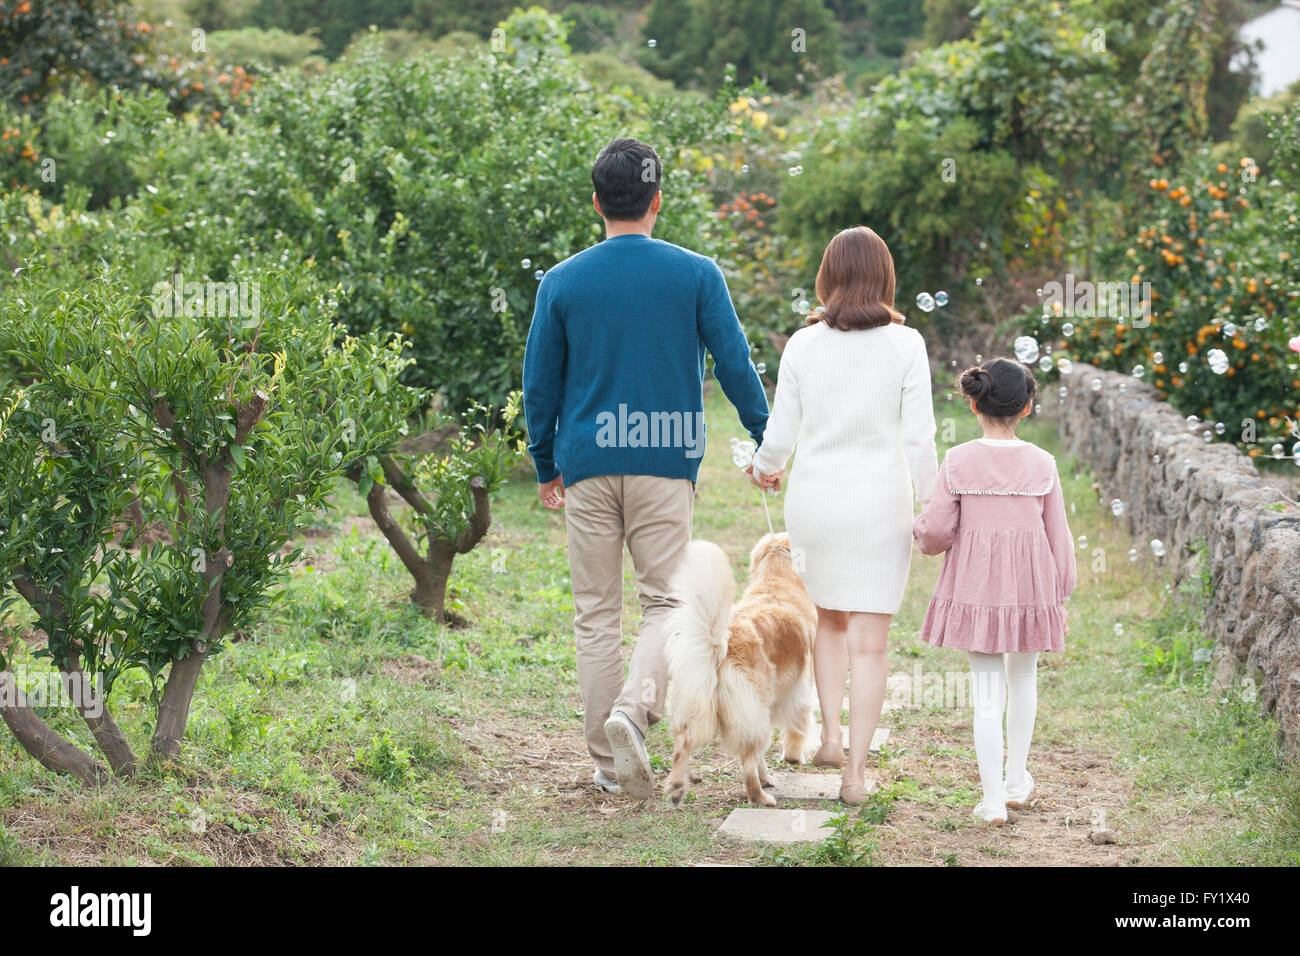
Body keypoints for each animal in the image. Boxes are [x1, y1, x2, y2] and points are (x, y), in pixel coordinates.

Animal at [665, 530, 816, 806]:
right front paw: (793, 756)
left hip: (698, 704)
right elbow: (797, 727)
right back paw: (762, 796)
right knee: (747, 763)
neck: (776, 581)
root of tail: (720, 645)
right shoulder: (802, 687)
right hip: (753, 709)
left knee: (683, 745)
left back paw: (677, 787)